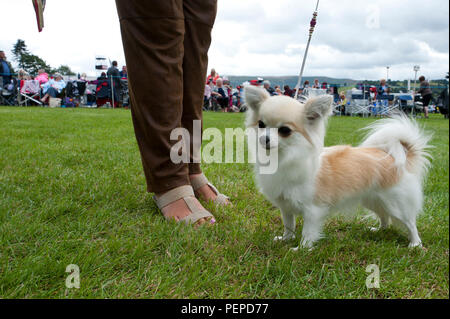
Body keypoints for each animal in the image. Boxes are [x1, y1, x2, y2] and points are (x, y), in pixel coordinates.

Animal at [246, 86, 432, 251]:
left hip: (396, 203)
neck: (283, 157)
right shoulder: (286, 206)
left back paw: (415, 244)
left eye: (284, 130)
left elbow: (307, 232)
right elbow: (288, 224)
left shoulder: (313, 210)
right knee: (384, 216)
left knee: (410, 223)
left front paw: (301, 249)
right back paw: (380, 230)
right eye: (261, 124)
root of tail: (393, 156)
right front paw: (285, 239)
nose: (264, 139)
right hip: (373, 199)